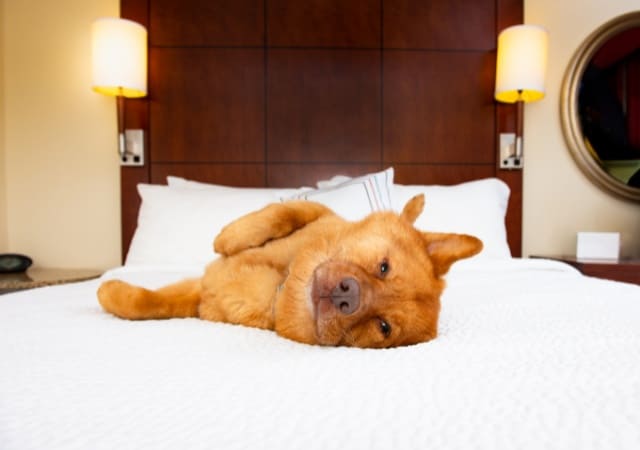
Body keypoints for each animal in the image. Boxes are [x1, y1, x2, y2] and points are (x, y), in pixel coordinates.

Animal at [99, 194, 480, 348]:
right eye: (383, 268)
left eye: (383, 326)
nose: (347, 294)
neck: (281, 283)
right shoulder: (319, 211)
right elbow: (285, 212)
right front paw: (229, 237)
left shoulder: (200, 300)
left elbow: (149, 304)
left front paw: (110, 292)